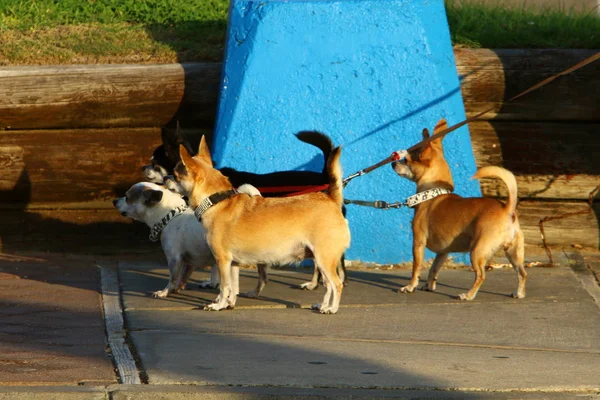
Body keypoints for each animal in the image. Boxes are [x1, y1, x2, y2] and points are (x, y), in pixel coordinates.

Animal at [173, 136, 352, 314]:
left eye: (175, 175)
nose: (166, 178)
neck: (217, 201)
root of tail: (331, 199)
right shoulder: (233, 264)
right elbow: (233, 287)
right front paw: (229, 303)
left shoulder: (223, 260)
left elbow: (224, 287)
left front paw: (218, 305)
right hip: (321, 260)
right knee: (328, 285)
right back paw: (323, 305)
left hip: (324, 259)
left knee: (337, 284)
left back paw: (332, 308)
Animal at [390, 119, 524, 300]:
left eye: (406, 160)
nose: (393, 162)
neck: (432, 193)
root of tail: (507, 209)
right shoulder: (443, 252)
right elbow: (434, 268)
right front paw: (429, 286)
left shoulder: (418, 243)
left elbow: (416, 268)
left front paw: (410, 287)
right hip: (513, 252)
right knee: (522, 273)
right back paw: (519, 293)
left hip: (477, 251)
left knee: (481, 275)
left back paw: (468, 295)